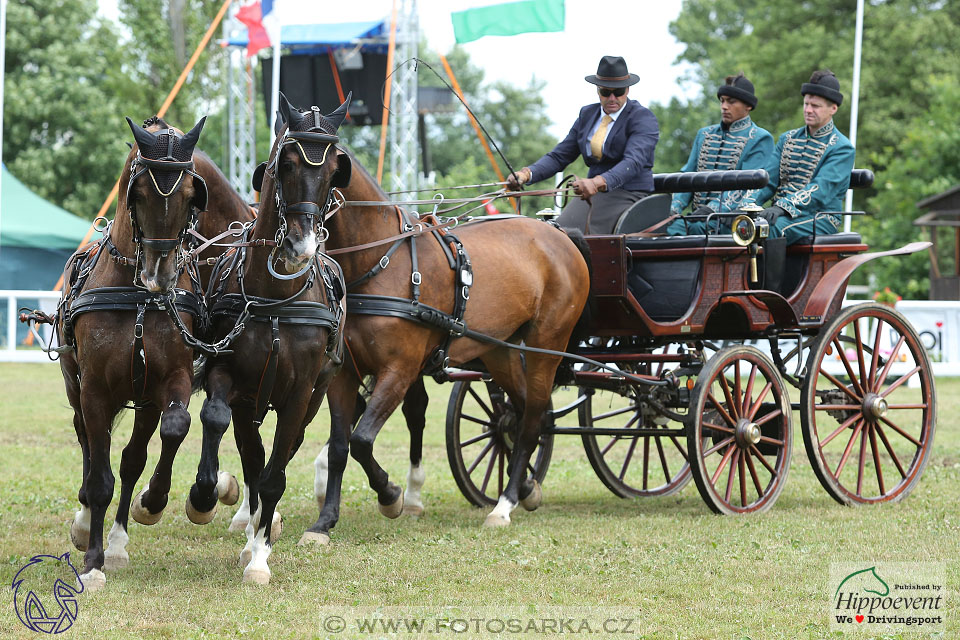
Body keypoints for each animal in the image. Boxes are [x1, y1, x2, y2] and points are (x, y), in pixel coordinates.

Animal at [59, 116, 212, 592]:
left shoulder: (169, 380)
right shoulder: (94, 391)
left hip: (143, 400)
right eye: (138, 191)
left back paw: (119, 540)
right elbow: (99, 476)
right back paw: (86, 521)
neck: (139, 297)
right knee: (87, 445)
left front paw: (154, 500)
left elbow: (173, 429)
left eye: (190, 195)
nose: (160, 274)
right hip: (75, 387)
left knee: (131, 459)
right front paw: (92, 562)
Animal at [188, 92, 348, 584]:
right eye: (288, 163)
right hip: (252, 401)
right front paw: (204, 495)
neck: (276, 298)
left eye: (334, 169)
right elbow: (215, 419)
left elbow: (275, 473)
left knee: (278, 455)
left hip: (314, 395)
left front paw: (260, 555)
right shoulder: (227, 374)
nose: (300, 247)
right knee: (249, 451)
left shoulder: (299, 393)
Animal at [304, 146, 592, 540]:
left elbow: (362, 440)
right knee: (525, 414)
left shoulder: (400, 370)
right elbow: (339, 445)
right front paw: (324, 522)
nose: (291, 242)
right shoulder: (344, 372)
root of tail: (558, 233)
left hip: (545, 346)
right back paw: (526, 487)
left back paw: (504, 505)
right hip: (500, 349)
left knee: (534, 416)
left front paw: (392, 495)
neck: (377, 264)